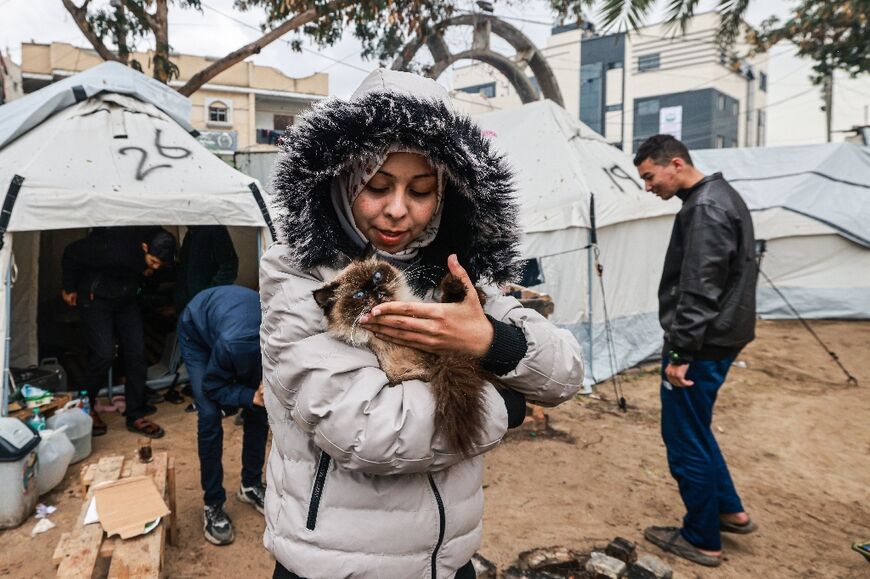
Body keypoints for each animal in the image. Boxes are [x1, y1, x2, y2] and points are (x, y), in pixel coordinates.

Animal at [314, 260, 490, 458]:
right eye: (359, 294)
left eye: (377, 276)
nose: (377, 290)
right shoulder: (411, 371)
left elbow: (450, 301)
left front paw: (460, 288)